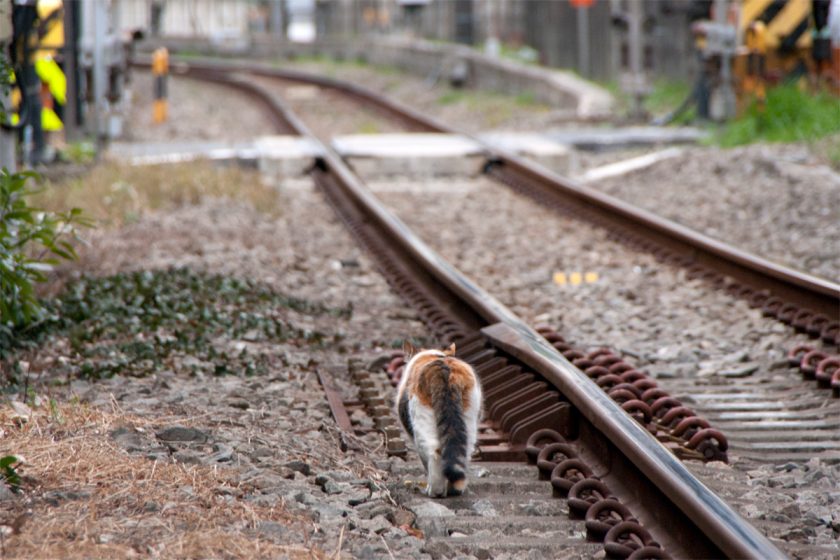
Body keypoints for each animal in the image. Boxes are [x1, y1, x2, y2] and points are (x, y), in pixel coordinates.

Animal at [394, 342, 480, 498]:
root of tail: (445, 369)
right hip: (469, 419)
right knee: (462, 451)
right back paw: (455, 489)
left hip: (421, 420)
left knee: (435, 450)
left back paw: (434, 491)